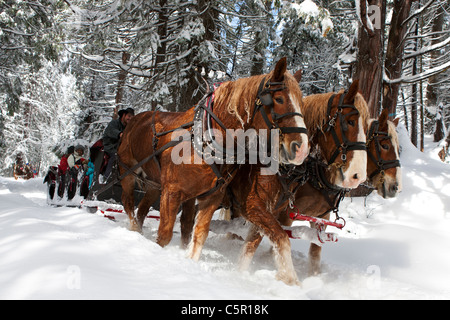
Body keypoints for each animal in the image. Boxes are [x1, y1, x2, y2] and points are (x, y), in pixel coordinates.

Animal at [118, 58, 310, 262]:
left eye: (301, 103)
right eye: (279, 99)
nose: (301, 148)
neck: (206, 140)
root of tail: (137, 119)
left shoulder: (211, 198)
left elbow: (199, 236)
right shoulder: (171, 192)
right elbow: (164, 235)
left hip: (154, 184)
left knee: (143, 209)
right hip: (127, 172)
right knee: (128, 202)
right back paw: (132, 228)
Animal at [229, 81, 370, 284]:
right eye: (349, 121)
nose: (357, 176)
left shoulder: (319, 216)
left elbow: (314, 250)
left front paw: (314, 278)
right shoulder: (263, 208)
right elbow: (267, 241)